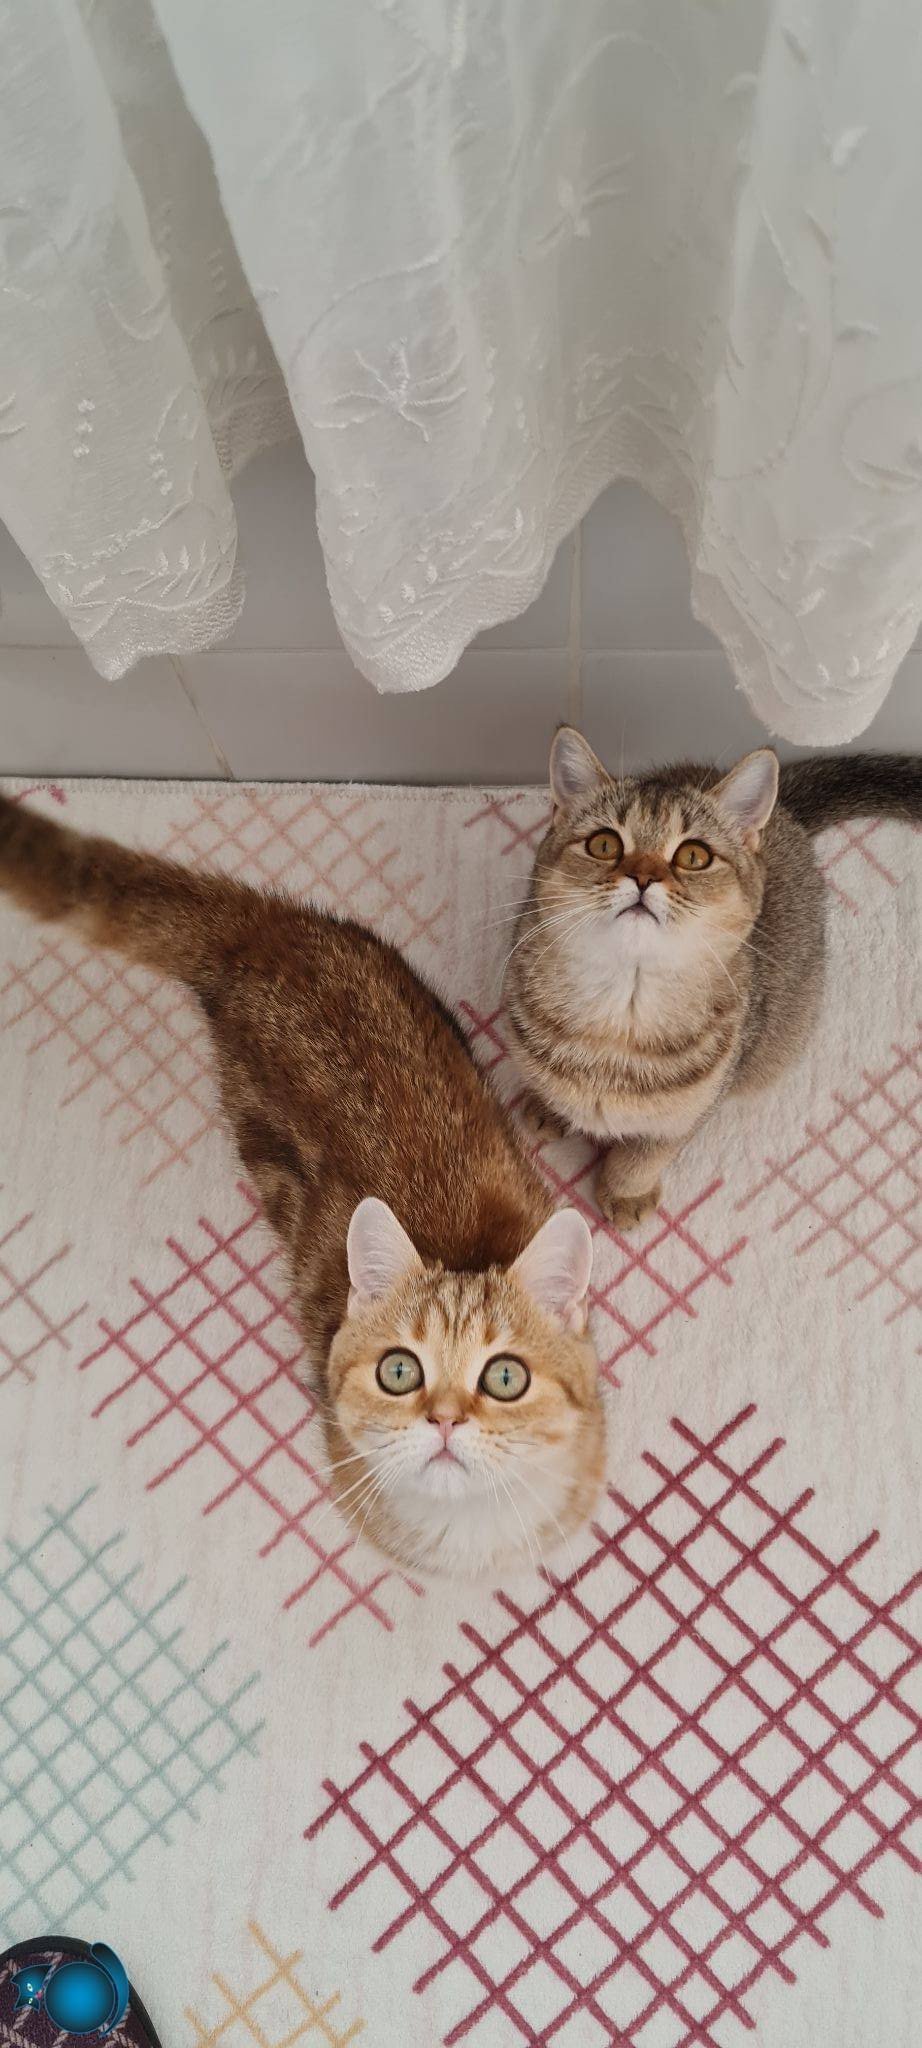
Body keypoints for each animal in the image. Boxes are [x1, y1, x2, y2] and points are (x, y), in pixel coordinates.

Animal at [504, 729, 922, 1231]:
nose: (642, 877)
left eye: (693, 856)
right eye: (604, 845)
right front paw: (548, 1106)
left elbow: (645, 1156)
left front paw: (625, 1192)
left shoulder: (695, 1108)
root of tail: (786, 813)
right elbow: (549, 1082)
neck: (622, 1017)